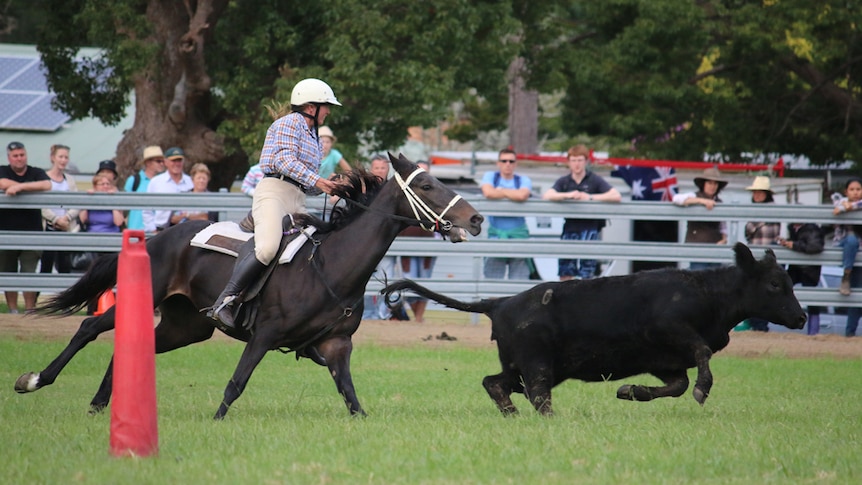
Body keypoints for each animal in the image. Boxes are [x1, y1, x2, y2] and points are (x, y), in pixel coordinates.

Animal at [15, 153, 486, 418]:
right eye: (425, 184)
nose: (477, 218)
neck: (330, 265)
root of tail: (160, 237)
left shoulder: (336, 346)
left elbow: (351, 396)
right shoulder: (264, 335)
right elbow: (236, 383)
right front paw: (216, 421)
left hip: (185, 326)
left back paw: (99, 405)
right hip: (149, 297)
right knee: (90, 327)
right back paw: (36, 380)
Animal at [382, 244, 808, 414]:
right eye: (775, 284)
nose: (802, 318)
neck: (707, 293)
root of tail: (498, 303)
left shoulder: (664, 360)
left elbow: (676, 384)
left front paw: (630, 391)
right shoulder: (673, 328)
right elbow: (700, 359)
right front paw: (703, 391)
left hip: (524, 365)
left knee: (497, 383)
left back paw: (511, 413)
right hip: (537, 363)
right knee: (537, 395)